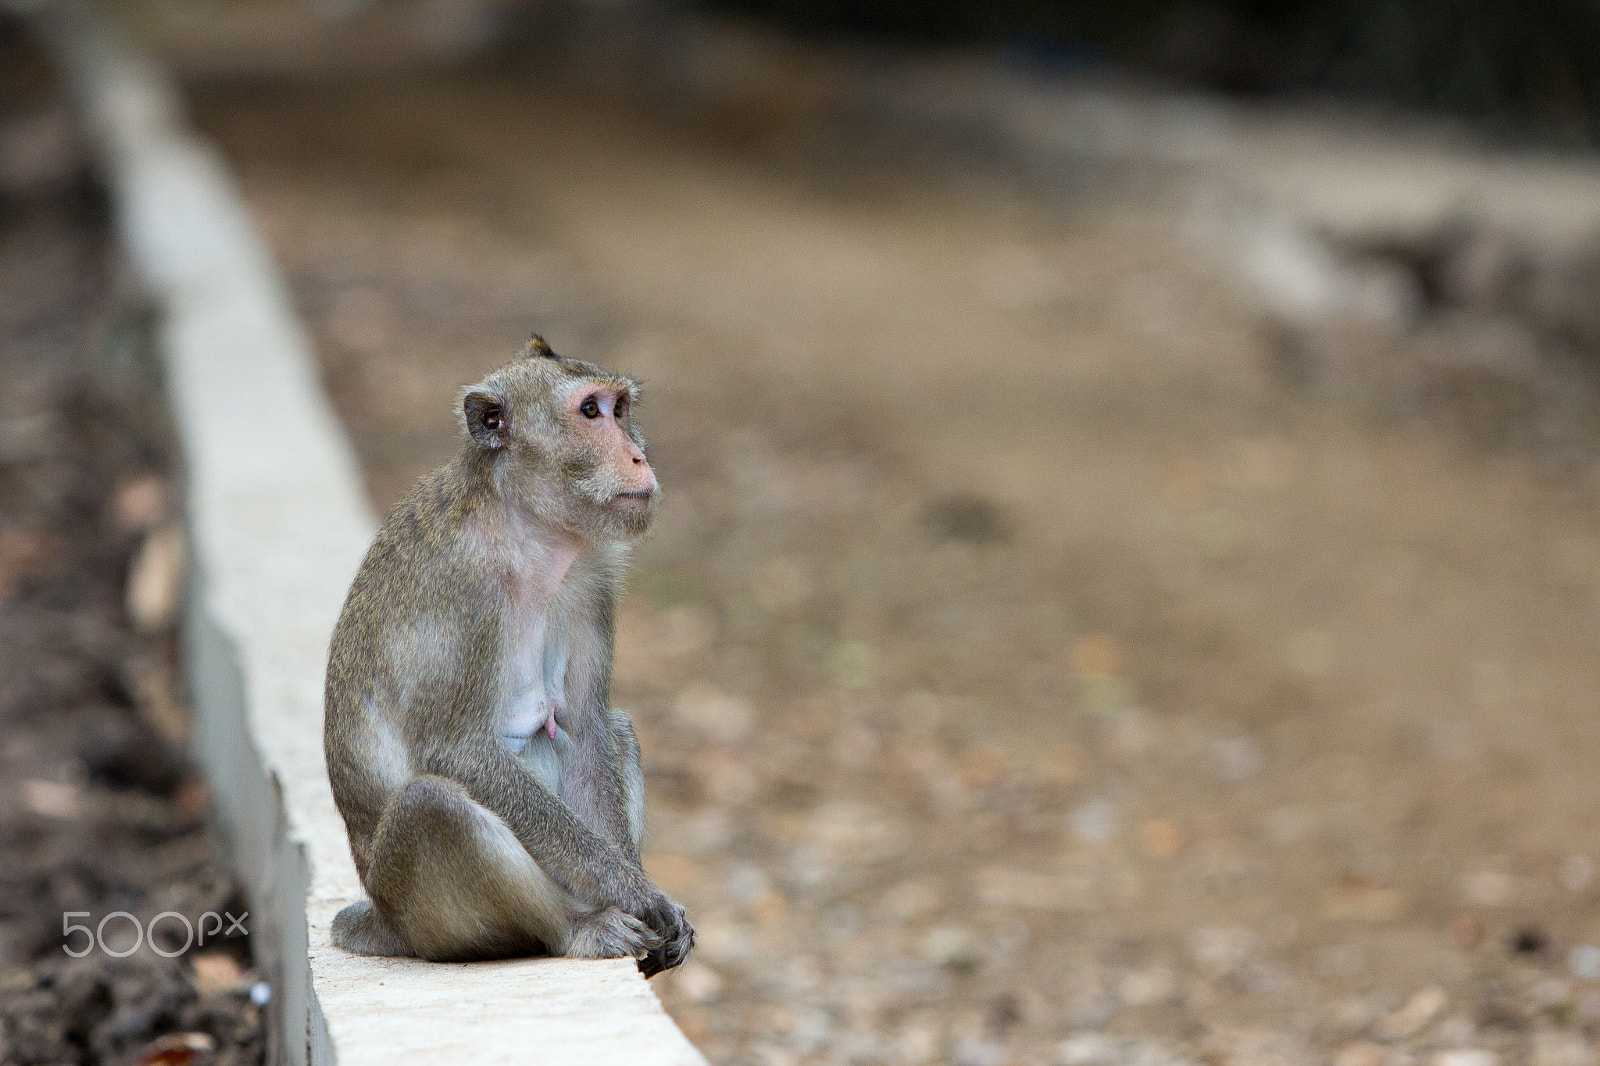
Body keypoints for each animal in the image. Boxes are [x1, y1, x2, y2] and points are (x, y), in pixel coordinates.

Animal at [322, 335, 693, 975]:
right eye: (590, 412)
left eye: (620, 410)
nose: (639, 459)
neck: (526, 529)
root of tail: (382, 918)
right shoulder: (462, 587)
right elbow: (460, 752)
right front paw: (637, 894)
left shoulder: (593, 574)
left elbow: (587, 726)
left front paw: (643, 890)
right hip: (423, 920)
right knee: (431, 805)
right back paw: (576, 927)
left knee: (616, 726)